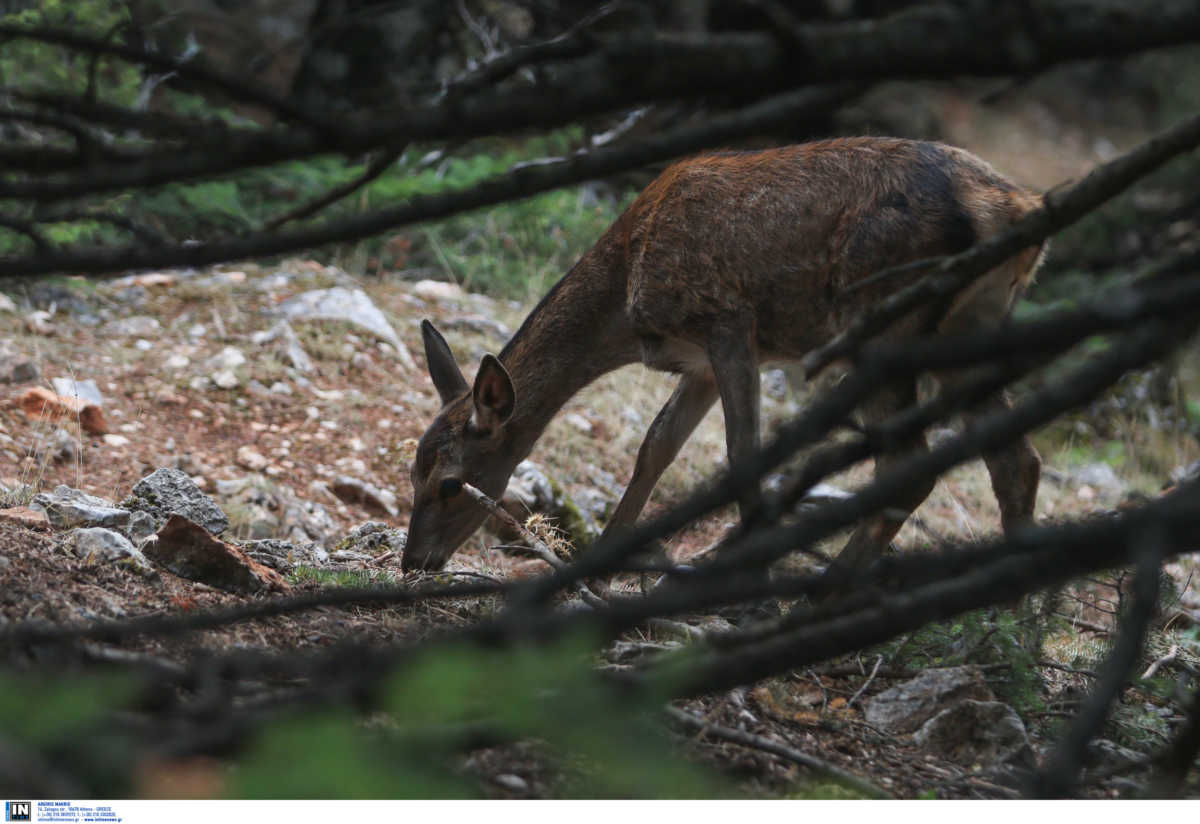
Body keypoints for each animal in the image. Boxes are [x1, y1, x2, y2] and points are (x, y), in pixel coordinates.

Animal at [400, 136, 1041, 580]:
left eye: (451, 484)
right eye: (412, 472)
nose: (412, 562)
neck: (624, 297)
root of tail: (1016, 205)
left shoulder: (727, 321)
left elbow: (741, 454)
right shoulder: (698, 363)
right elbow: (654, 449)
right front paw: (600, 569)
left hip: (882, 319)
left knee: (911, 466)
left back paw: (817, 599)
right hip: (967, 326)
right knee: (1017, 460)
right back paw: (1019, 624)